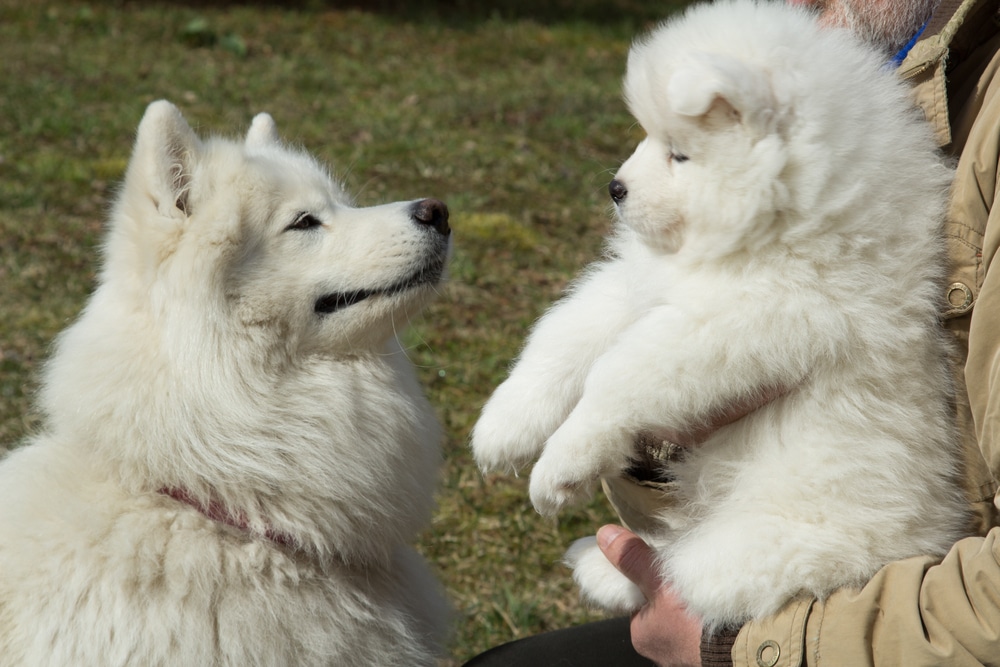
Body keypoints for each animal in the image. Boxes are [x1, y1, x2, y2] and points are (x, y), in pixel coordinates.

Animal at [472, 0, 972, 628]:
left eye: (679, 152)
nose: (615, 188)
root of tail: (934, 534)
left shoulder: (732, 327)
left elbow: (616, 377)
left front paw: (560, 466)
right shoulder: (640, 285)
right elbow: (565, 335)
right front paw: (503, 428)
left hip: (767, 545)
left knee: (689, 577)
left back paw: (603, 567)